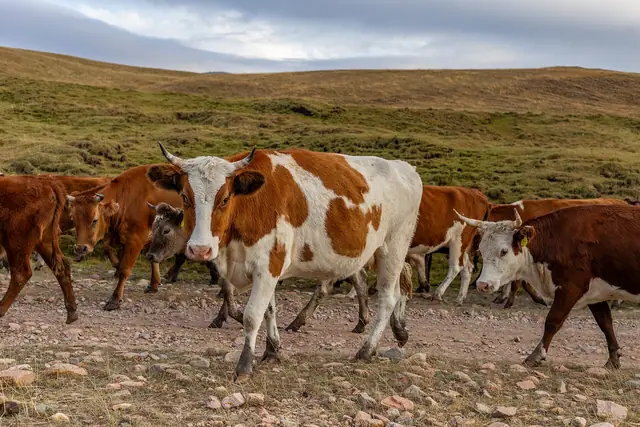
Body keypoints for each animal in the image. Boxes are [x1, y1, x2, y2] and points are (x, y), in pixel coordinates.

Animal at [0, 176, 77, 323]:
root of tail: (46, 183)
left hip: (16, 242)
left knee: (20, 274)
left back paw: (0, 309)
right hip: (44, 241)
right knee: (63, 266)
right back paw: (72, 313)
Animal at [65, 165, 187, 310]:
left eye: (95, 220)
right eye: (74, 219)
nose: (80, 248)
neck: (126, 199)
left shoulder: (136, 241)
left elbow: (125, 269)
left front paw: (115, 299)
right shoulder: (120, 239)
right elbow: (110, 250)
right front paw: (153, 284)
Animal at [147, 144, 422, 381]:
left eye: (224, 199)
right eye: (185, 196)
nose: (200, 249)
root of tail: (404, 167)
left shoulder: (268, 264)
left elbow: (252, 315)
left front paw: (245, 364)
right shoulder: (263, 268)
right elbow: (269, 310)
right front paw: (273, 350)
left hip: (394, 246)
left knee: (388, 297)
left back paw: (367, 349)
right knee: (399, 288)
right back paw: (399, 331)